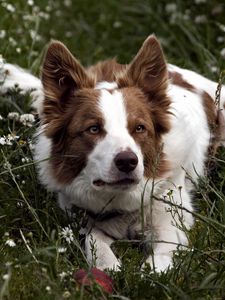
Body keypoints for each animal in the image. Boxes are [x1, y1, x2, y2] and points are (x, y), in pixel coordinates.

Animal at [0, 35, 224, 272]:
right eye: (93, 129)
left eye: (140, 128)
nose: (127, 162)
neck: (123, 199)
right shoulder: (85, 219)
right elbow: (95, 243)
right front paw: (109, 268)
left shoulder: (170, 223)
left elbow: (159, 262)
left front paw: (148, 273)